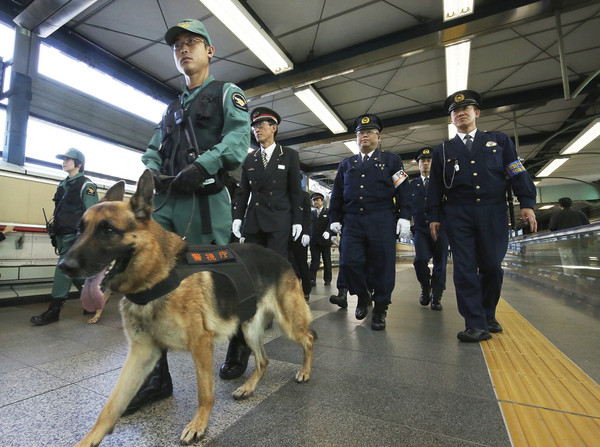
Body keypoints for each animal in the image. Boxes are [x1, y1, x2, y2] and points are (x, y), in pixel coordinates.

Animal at [58, 171, 316, 444]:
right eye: (80, 230)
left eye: (107, 230)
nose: (64, 266)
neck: (157, 277)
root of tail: (282, 259)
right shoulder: (142, 352)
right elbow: (110, 407)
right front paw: (90, 439)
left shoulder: (201, 343)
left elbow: (205, 393)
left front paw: (199, 424)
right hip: (249, 328)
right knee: (263, 360)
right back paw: (248, 387)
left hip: (289, 323)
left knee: (308, 339)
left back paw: (304, 371)